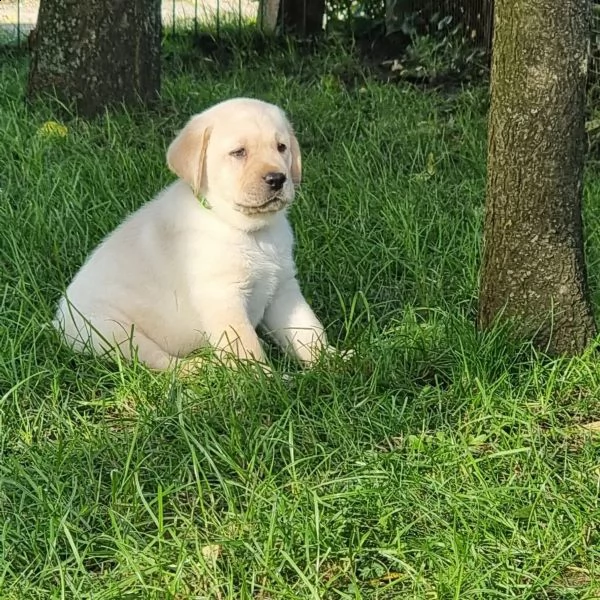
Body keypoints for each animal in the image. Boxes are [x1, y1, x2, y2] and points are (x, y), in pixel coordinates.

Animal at [54, 96, 340, 372]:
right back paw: (200, 367)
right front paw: (267, 381)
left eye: (281, 147)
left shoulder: (283, 288)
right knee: (161, 363)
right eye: (239, 152)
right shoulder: (223, 297)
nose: (277, 179)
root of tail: (58, 322)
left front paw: (334, 361)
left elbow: (308, 330)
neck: (249, 231)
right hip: (112, 331)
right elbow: (247, 348)